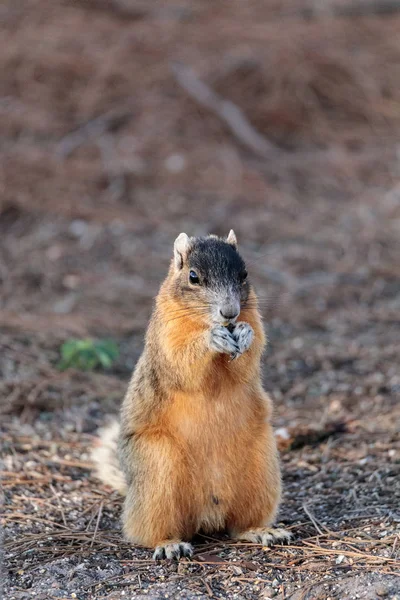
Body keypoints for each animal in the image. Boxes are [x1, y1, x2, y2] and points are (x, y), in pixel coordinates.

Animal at [92, 232, 290, 560]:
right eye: (193, 277)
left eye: (244, 274)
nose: (229, 313)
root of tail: (208, 515)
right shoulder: (167, 336)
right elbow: (183, 364)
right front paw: (212, 339)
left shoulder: (253, 318)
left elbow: (248, 363)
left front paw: (245, 334)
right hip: (157, 470)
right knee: (147, 529)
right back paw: (169, 545)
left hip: (262, 469)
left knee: (239, 525)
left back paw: (262, 531)